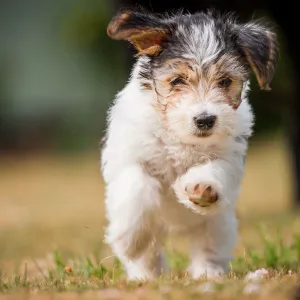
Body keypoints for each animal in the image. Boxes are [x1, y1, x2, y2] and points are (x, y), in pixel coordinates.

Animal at [101, 9, 278, 282]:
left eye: (225, 81)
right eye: (177, 81)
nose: (205, 119)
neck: (180, 137)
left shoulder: (229, 156)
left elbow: (214, 167)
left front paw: (202, 187)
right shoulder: (128, 156)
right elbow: (137, 184)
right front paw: (131, 240)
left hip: (218, 225)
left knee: (208, 248)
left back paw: (208, 273)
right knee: (149, 253)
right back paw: (145, 273)